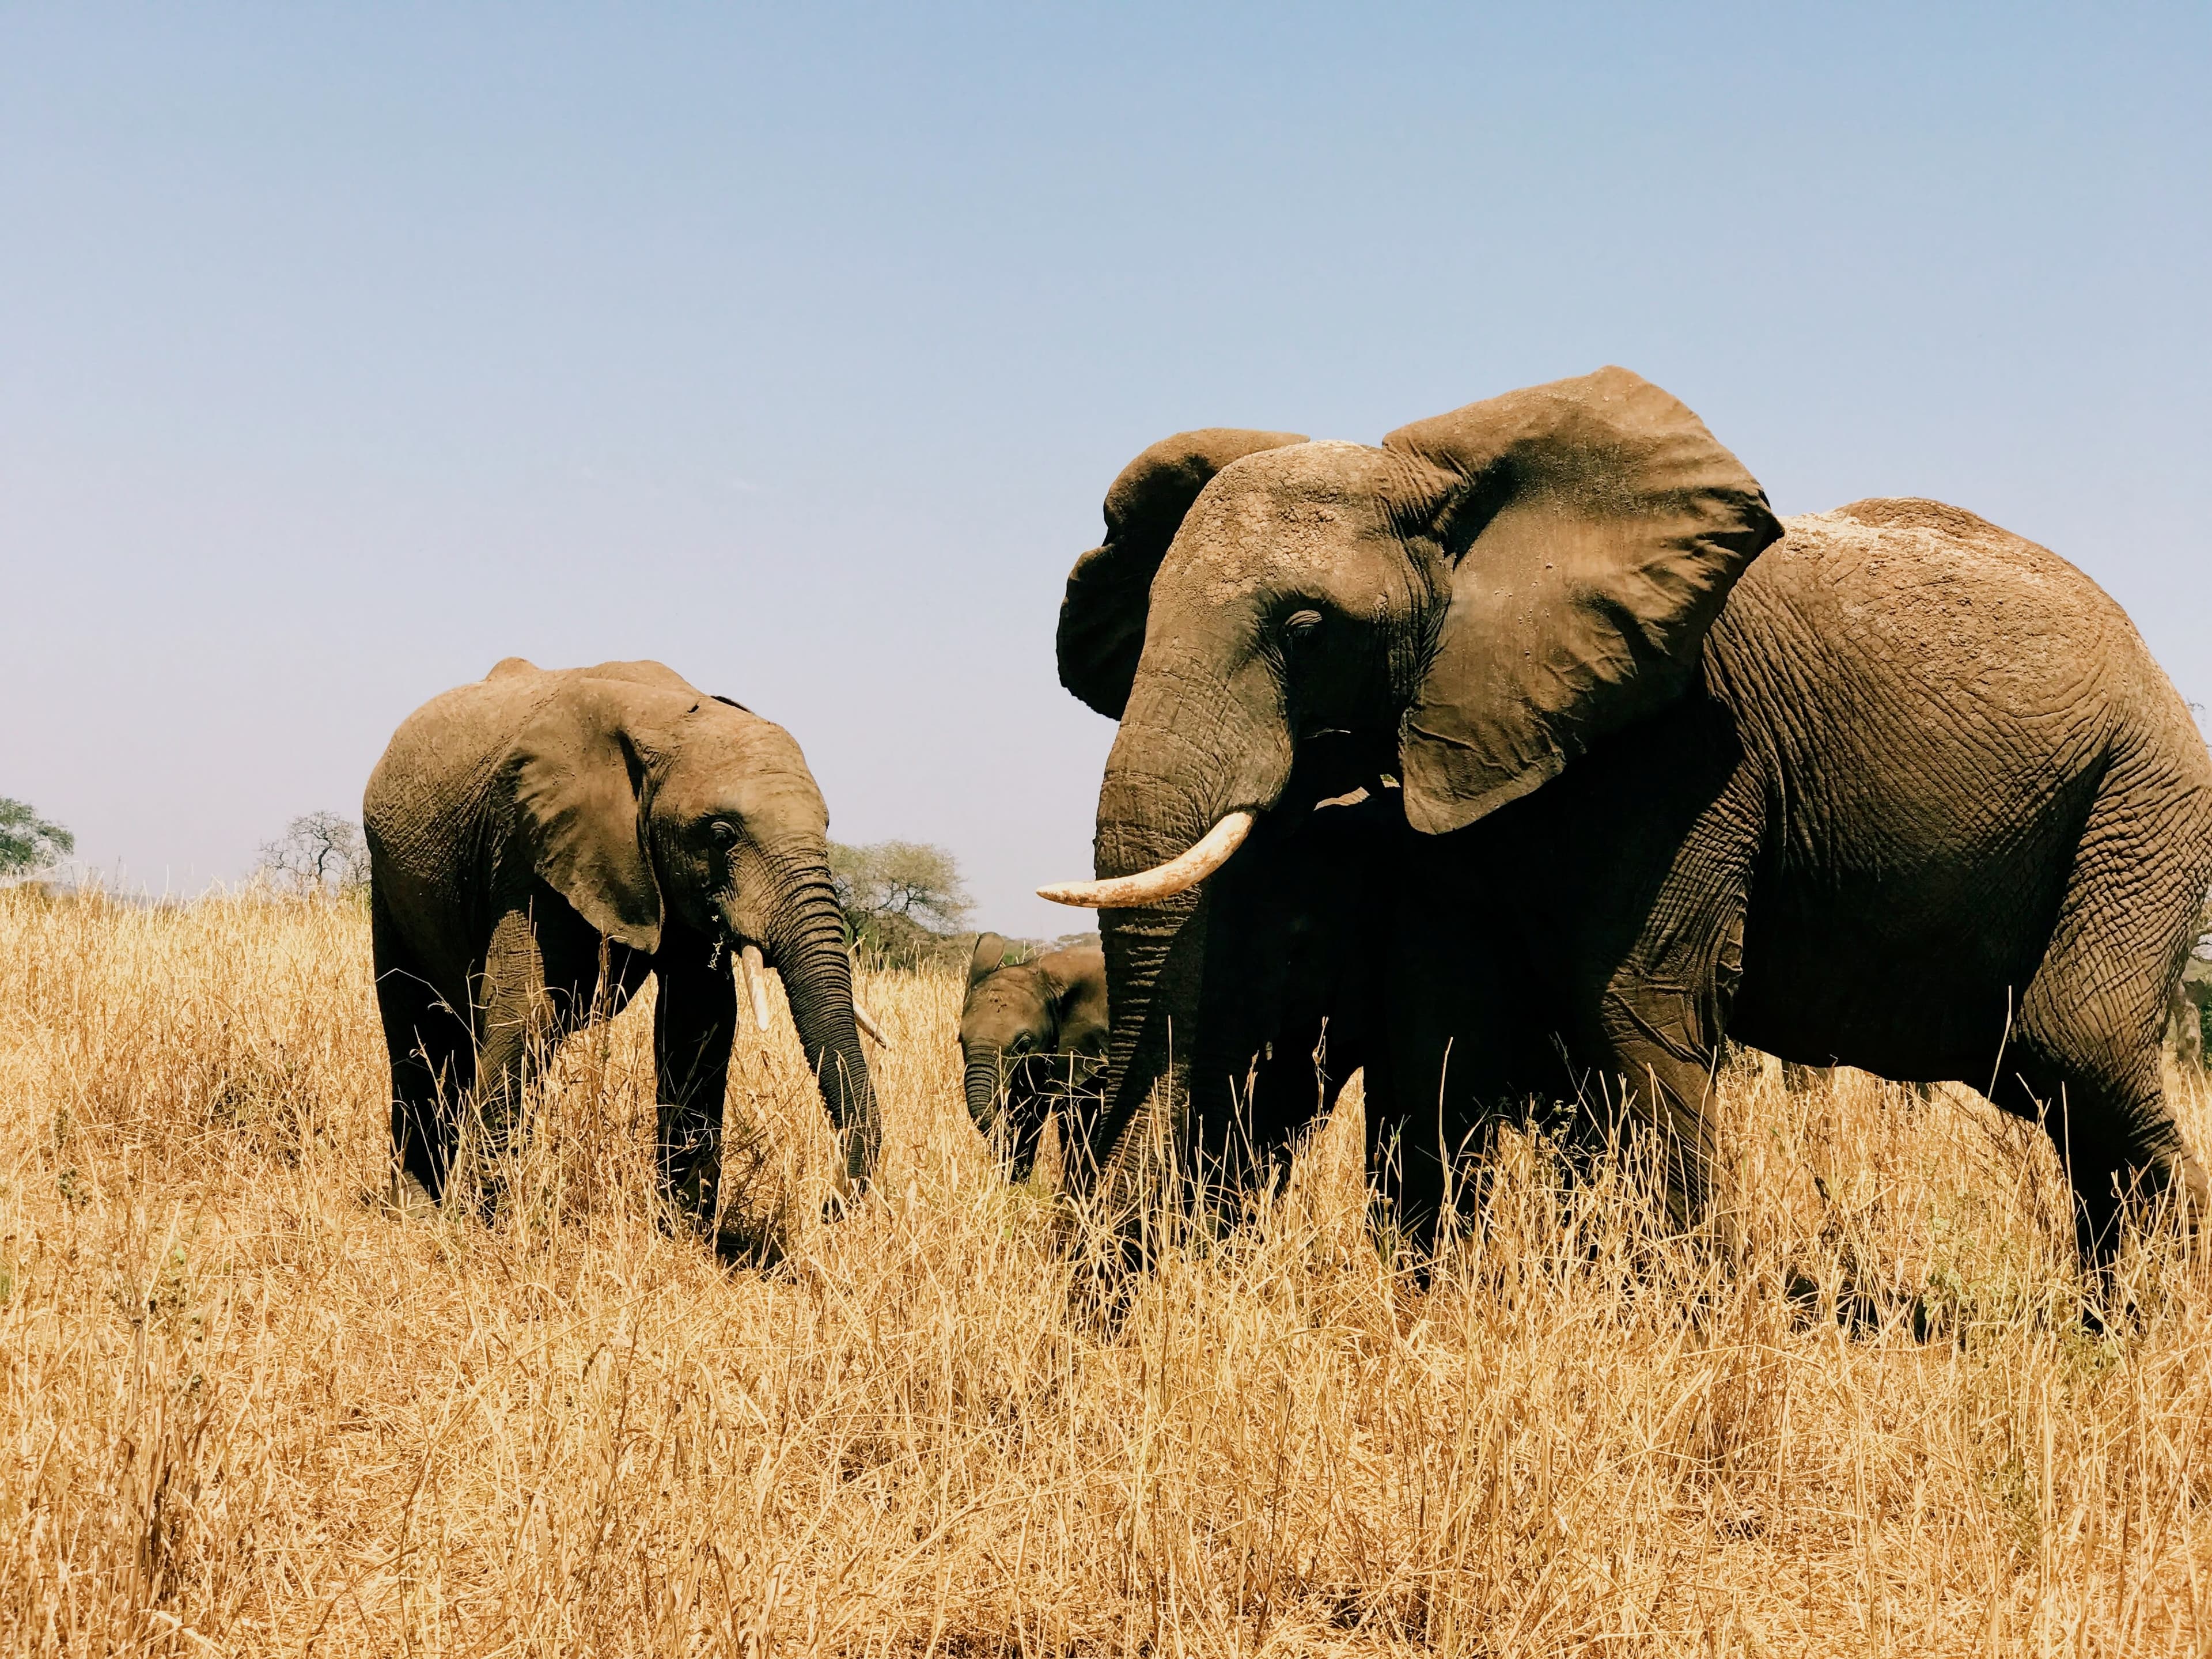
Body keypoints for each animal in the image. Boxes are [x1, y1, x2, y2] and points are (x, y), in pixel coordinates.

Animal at [363, 657, 878, 1234]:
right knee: (415, 1029)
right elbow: (527, 1010)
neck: (669, 722)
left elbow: (699, 1020)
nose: (828, 1206)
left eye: (827, 827)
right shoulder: (524, 847)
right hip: (389, 882)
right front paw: (481, 1225)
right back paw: (415, 1213)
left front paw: (684, 1230)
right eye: (722, 836)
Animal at [1041, 366, 2212, 1274]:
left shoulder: (1686, 743)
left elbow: (1639, 997)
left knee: (2076, 1045)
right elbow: (1458, 1014)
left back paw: (2149, 1324)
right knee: (2044, 1079)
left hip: (2147, 797)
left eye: (1305, 627)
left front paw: (1688, 1316)